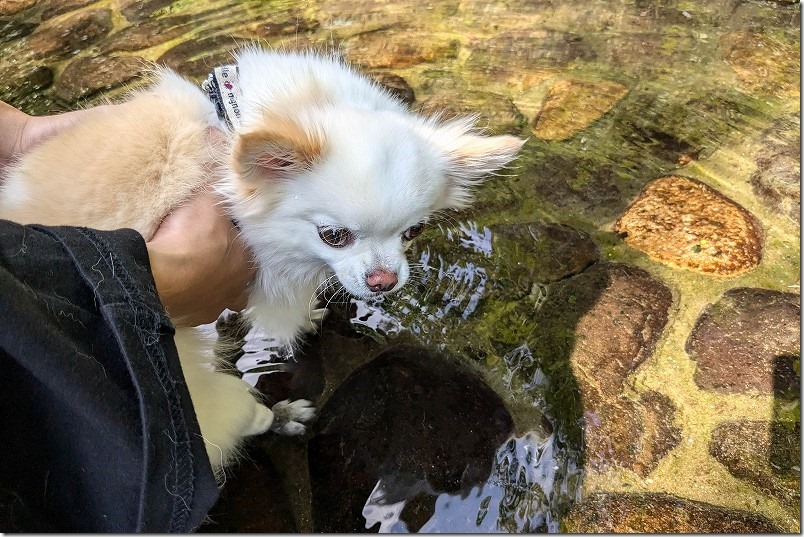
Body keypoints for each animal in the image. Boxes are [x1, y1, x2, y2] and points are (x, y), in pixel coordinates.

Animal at [0, 47, 524, 474]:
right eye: (333, 236)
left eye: (413, 232)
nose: (384, 281)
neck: (229, 139)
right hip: (201, 400)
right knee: (242, 413)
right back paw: (283, 416)